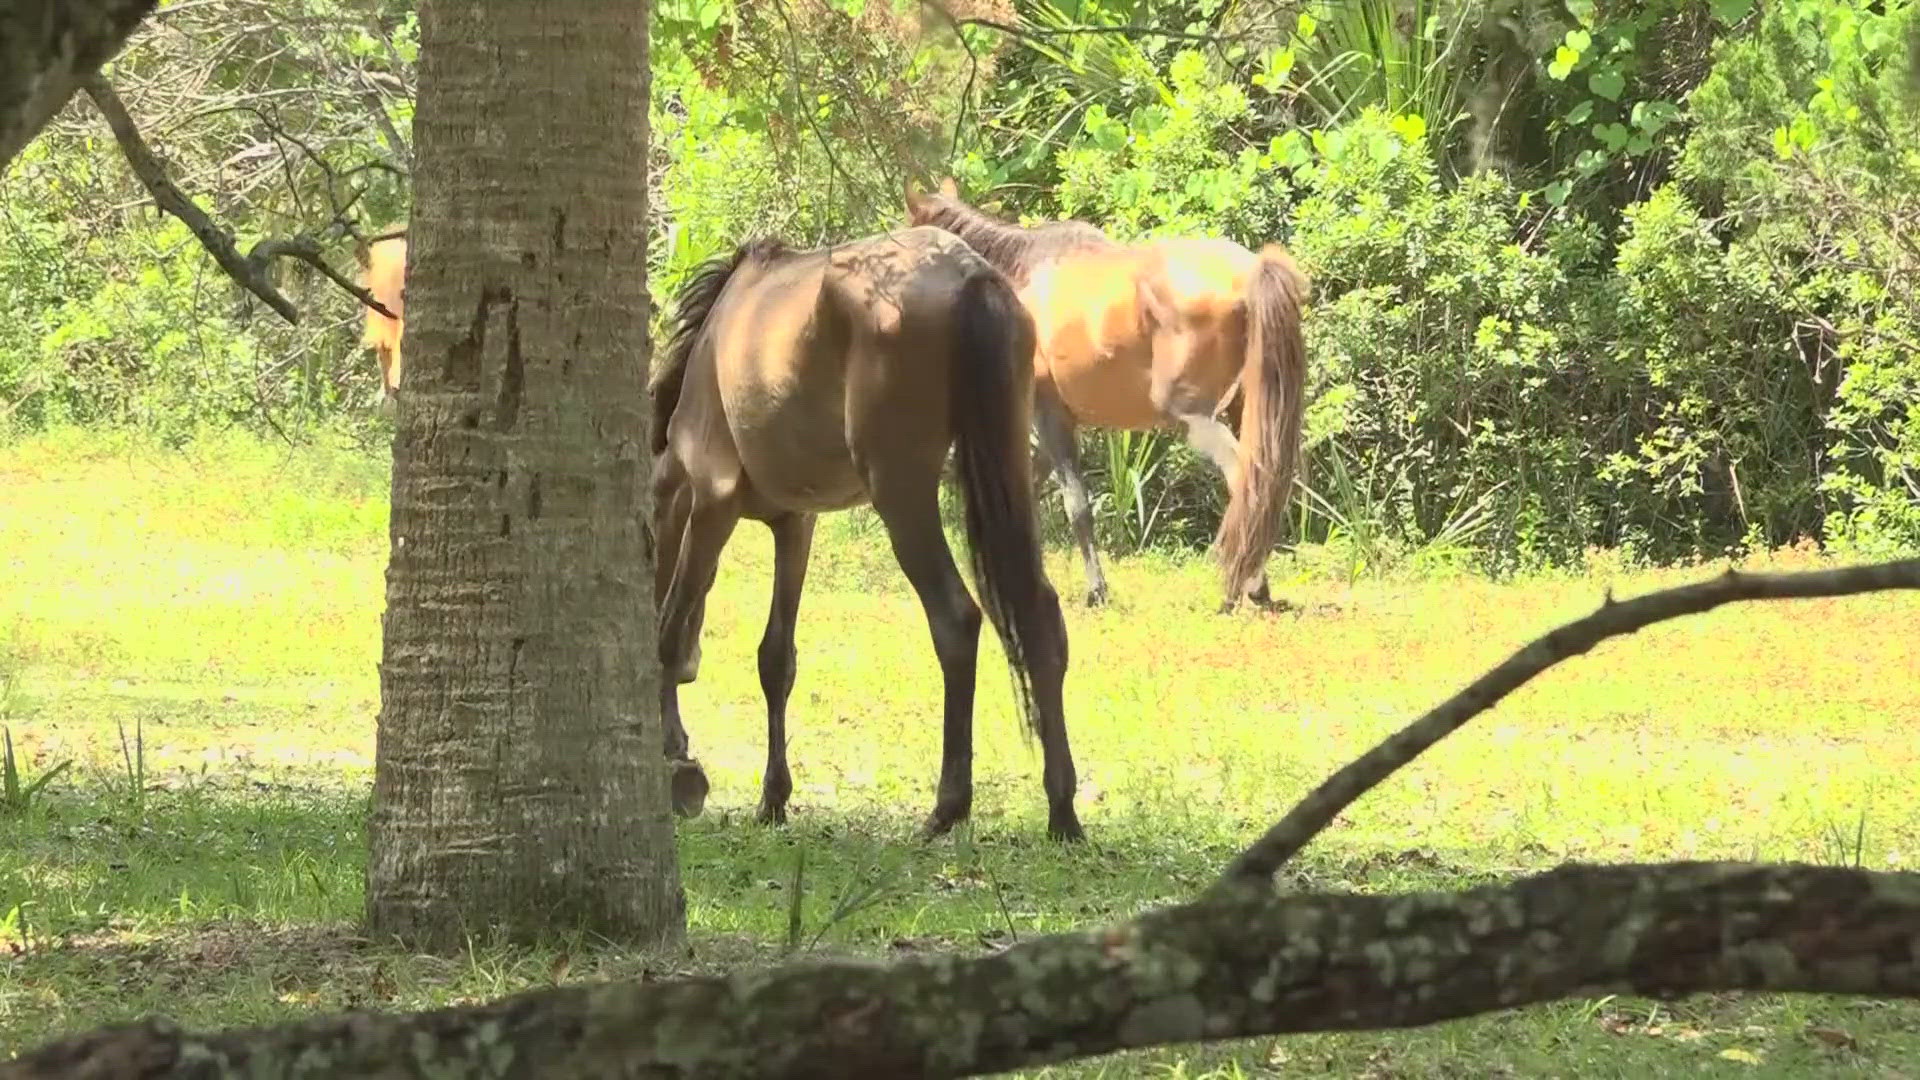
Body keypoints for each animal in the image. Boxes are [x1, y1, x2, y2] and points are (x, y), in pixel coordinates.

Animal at [652, 220, 1090, 841]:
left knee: (956, 619)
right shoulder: (795, 525)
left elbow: (666, 636)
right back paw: (1062, 810)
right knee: (1041, 618)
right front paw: (772, 798)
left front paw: (675, 760)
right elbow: (776, 660)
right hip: (1009, 466)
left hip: (901, 494)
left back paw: (947, 807)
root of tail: (970, 275)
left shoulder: (713, 505)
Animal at [910, 180, 1305, 611]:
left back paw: (1241, 590)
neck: (1021, 277)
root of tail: (1250, 271)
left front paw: (1096, 590)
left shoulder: (1049, 415)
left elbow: (1077, 506)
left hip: (1197, 417)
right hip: (1245, 411)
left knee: (1245, 481)